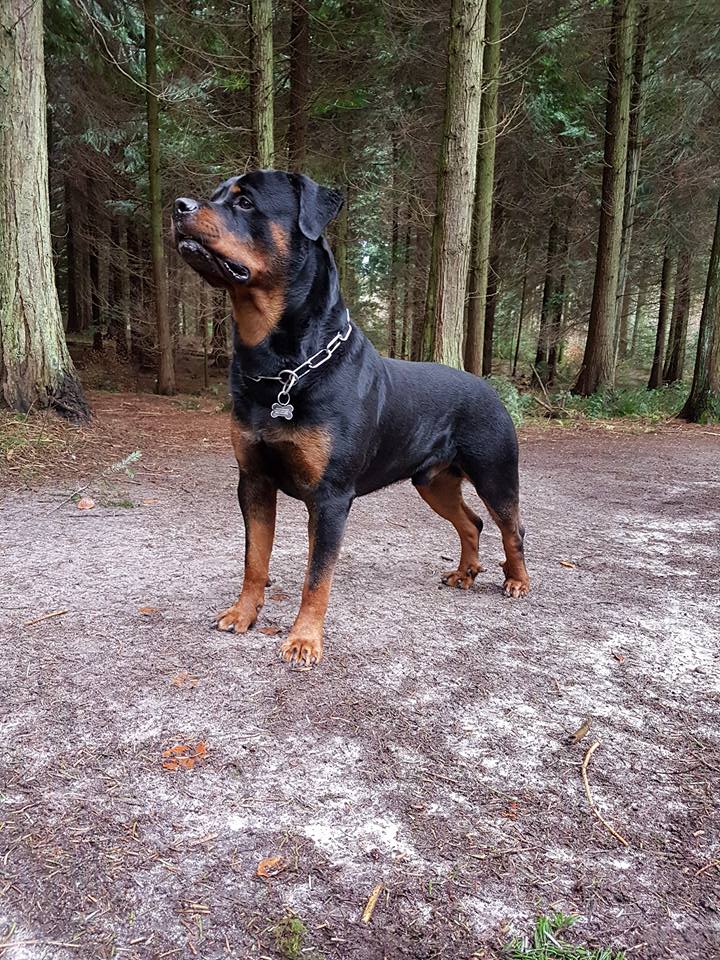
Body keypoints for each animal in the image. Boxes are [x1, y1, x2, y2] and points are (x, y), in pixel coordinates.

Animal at [172, 171, 524, 668]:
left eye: (244, 202)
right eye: (217, 193)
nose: (178, 206)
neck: (283, 368)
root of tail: (490, 388)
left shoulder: (331, 496)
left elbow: (317, 575)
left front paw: (304, 640)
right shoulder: (253, 480)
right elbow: (254, 558)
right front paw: (243, 613)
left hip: (494, 470)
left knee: (512, 525)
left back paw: (517, 580)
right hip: (433, 481)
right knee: (470, 521)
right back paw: (465, 572)